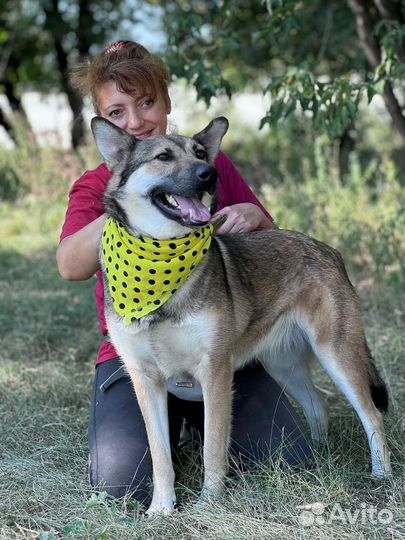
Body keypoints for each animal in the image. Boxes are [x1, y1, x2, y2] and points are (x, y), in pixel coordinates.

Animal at [90, 115, 390, 516]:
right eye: (164, 156)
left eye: (200, 153)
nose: (209, 174)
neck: (160, 271)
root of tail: (327, 249)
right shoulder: (146, 380)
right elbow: (160, 456)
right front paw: (162, 508)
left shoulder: (215, 370)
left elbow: (214, 447)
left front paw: (208, 503)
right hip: (284, 364)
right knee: (319, 407)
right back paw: (319, 459)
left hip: (336, 354)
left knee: (372, 414)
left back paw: (381, 474)